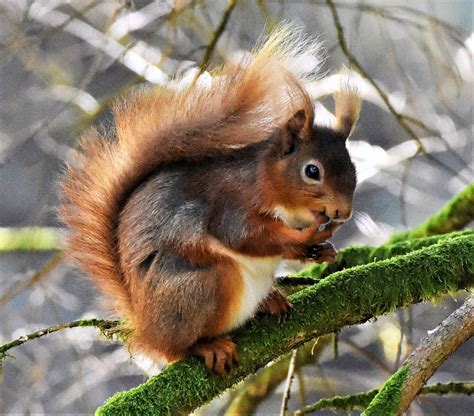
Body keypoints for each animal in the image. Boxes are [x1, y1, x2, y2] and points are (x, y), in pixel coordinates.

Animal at [61, 26, 362, 376]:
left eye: (353, 166)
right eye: (312, 171)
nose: (344, 211)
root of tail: (145, 328)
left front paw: (324, 250)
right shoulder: (232, 203)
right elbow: (244, 235)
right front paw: (304, 239)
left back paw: (270, 300)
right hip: (201, 286)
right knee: (174, 349)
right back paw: (206, 346)